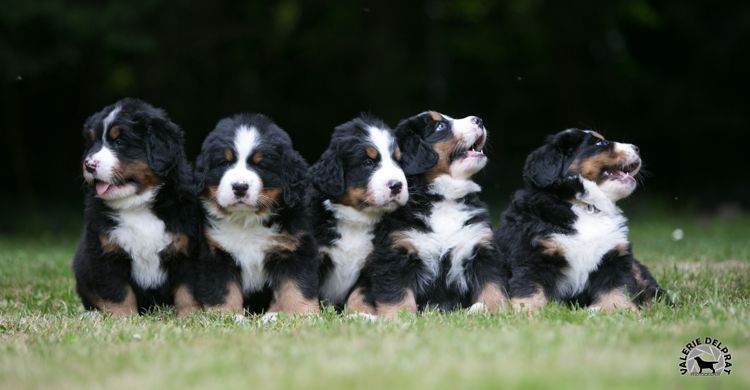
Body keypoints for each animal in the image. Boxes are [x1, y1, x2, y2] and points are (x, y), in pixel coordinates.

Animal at [73, 98, 195, 316]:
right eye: (92, 143)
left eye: (119, 142)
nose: (88, 164)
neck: (137, 205)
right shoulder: (106, 253)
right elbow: (118, 293)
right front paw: (122, 318)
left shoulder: (185, 250)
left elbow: (186, 292)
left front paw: (190, 316)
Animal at [187, 112, 320, 316]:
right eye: (224, 162)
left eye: (261, 165)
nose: (240, 187)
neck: (246, 221)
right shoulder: (215, 252)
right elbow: (223, 290)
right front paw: (228, 316)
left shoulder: (294, 249)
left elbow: (297, 287)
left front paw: (303, 315)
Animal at [312, 114, 412, 312]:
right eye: (368, 163)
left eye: (398, 161)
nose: (397, 185)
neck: (356, 220)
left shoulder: (375, 262)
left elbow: (360, 293)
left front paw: (361, 314)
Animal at [358, 110, 512, 316]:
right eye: (440, 126)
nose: (479, 120)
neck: (443, 198)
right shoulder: (396, 253)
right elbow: (398, 296)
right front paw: (400, 318)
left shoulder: (482, 248)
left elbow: (493, 287)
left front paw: (499, 311)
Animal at [500, 129, 668, 312]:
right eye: (600, 143)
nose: (637, 148)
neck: (586, 207)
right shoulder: (533, 257)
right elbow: (531, 291)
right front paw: (530, 312)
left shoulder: (613, 258)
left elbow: (617, 290)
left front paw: (621, 311)